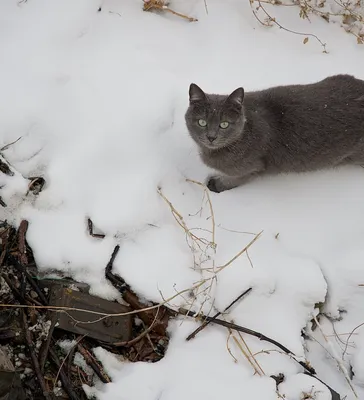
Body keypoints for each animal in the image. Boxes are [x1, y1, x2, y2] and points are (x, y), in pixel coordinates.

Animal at [185, 76, 364, 194]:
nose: (211, 137)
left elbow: (237, 178)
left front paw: (216, 185)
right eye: (202, 122)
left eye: (224, 124)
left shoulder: (253, 167)